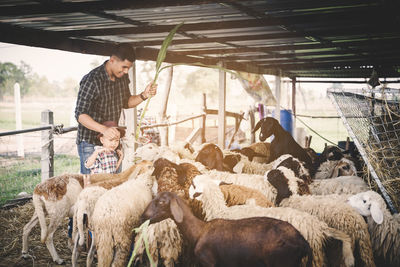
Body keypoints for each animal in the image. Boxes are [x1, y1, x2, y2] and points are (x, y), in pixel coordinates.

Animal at [141, 193, 312, 267]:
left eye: (161, 202)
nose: (143, 216)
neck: (199, 231)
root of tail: (303, 242)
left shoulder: (208, 261)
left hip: (281, 262)